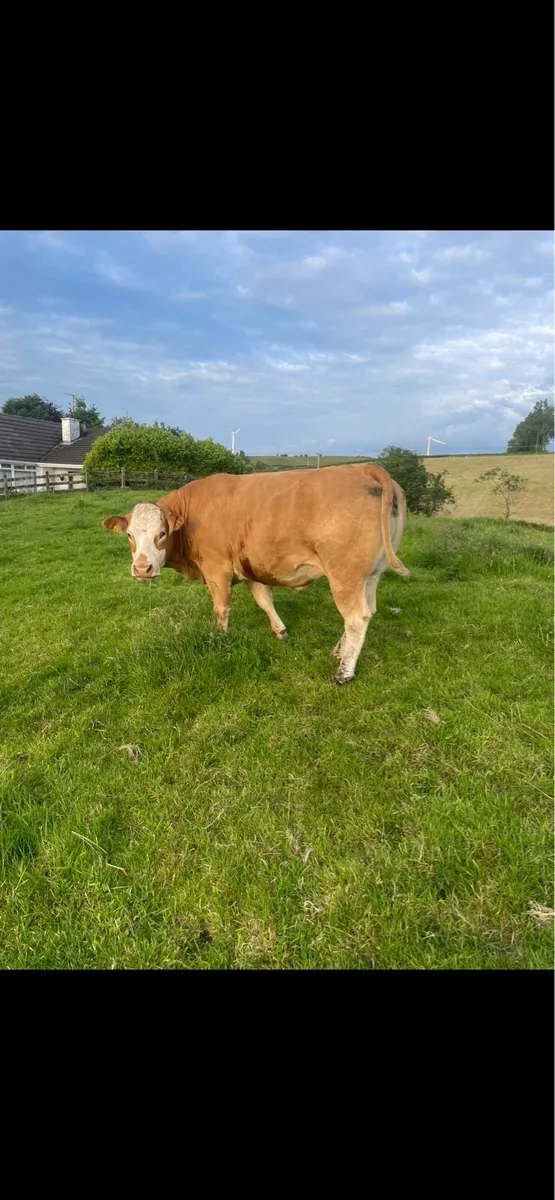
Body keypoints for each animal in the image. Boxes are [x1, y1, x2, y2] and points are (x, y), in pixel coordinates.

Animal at [102, 462, 409, 684]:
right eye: (129, 535)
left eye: (162, 533)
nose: (142, 568)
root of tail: (364, 467)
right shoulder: (250, 568)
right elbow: (264, 600)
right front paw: (281, 631)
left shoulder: (217, 570)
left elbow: (221, 608)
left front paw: (220, 638)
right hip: (370, 575)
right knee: (368, 611)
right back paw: (339, 651)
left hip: (344, 575)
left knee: (356, 618)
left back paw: (344, 671)